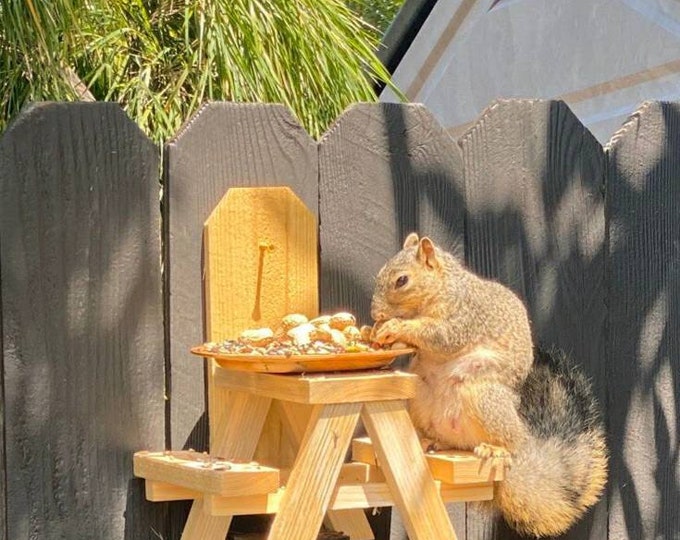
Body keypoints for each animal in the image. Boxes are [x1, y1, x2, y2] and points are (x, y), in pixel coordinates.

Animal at [370, 232, 608, 538]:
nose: (375, 314)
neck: (444, 288)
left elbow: (440, 337)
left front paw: (396, 328)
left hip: (485, 397)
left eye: (402, 280)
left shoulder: (463, 318)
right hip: (420, 395)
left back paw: (498, 449)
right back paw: (429, 440)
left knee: (511, 440)